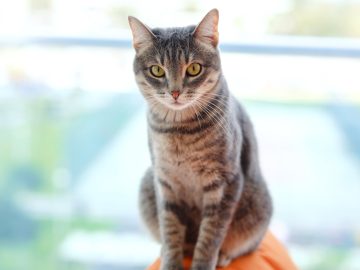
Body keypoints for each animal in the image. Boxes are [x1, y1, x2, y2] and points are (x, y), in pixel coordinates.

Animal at [129, 8, 272, 270]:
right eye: (157, 70)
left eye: (194, 69)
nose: (175, 92)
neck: (179, 131)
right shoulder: (165, 183)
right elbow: (170, 231)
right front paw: (171, 262)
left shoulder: (224, 182)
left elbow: (209, 238)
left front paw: (204, 262)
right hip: (147, 183)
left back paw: (224, 256)